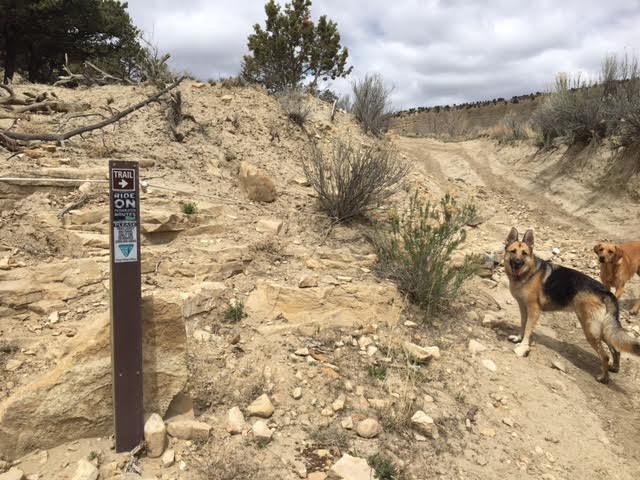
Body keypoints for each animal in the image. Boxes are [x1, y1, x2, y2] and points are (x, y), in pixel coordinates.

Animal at [504, 228, 640, 382]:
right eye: (513, 251)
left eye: (524, 254)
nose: (517, 263)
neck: (529, 272)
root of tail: (605, 291)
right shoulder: (523, 307)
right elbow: (523, 324)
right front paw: (519, 338)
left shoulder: (534, 310)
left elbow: (528, 328)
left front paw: (523, 347)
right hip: (603, 329)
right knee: (616, 349)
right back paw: (614, 368)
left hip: (590, 330)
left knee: (605, 356)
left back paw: (603, 377)